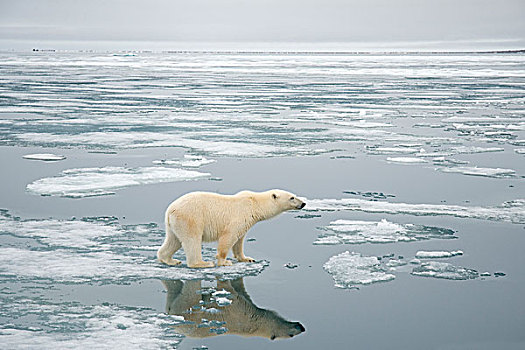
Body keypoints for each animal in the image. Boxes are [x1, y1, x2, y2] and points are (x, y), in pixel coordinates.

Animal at [157, 189, 302, 268]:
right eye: (292, 197)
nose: (303, 203)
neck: (254, 203)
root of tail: (171, 209)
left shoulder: (247, 221)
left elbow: (239, 241)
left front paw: (247, 258)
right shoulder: (239, 216)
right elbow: (229, 237)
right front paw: (224, 262)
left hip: (175, 224)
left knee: (174, 240)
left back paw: (170, 260)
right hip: (191, 218)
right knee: (192, 240)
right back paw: (203, 263)